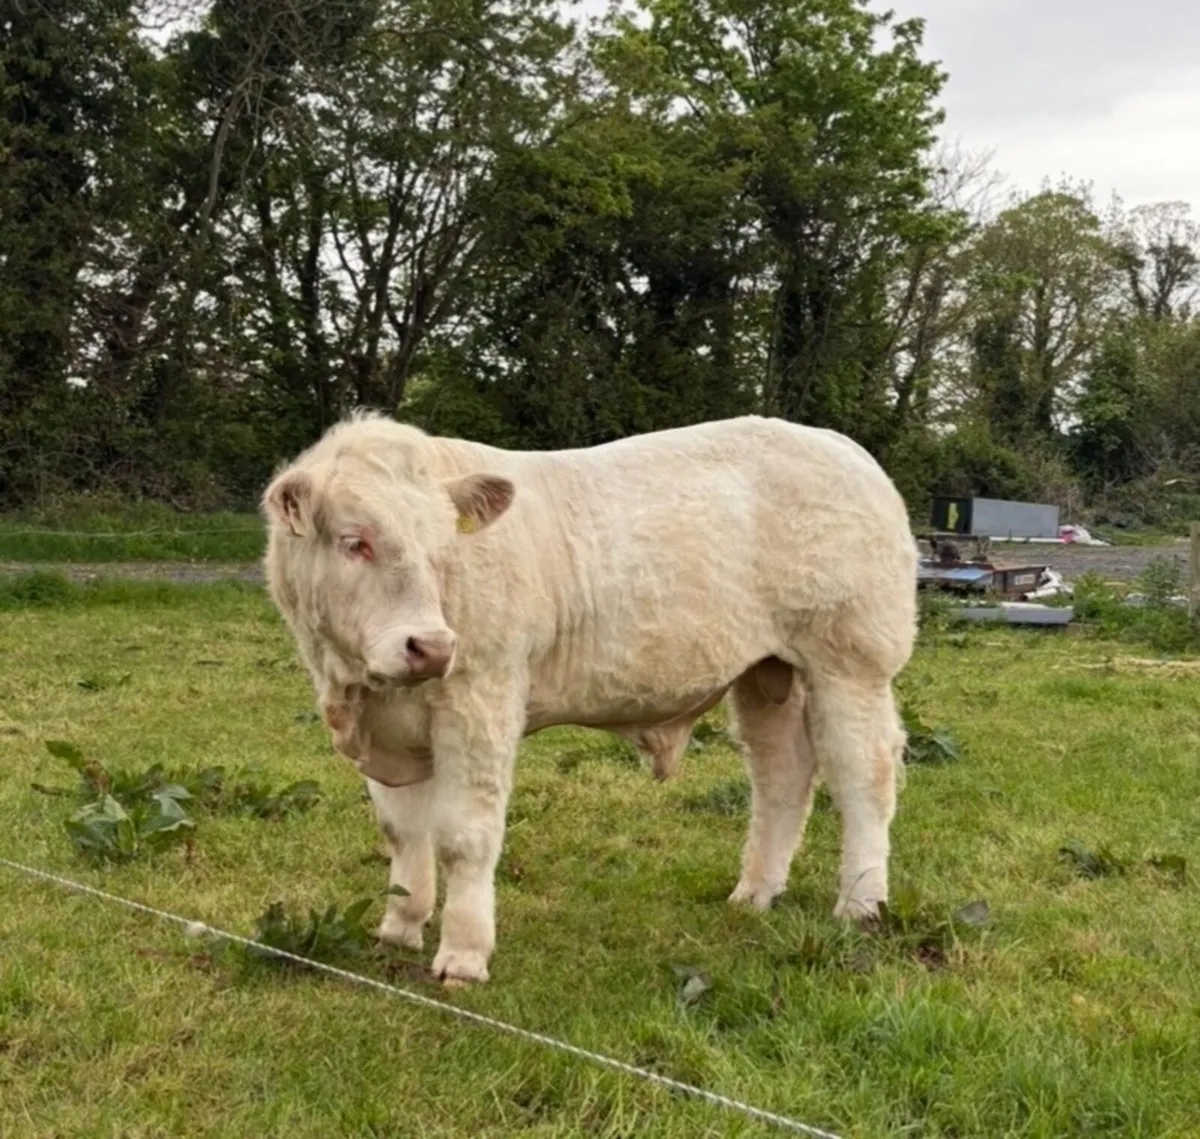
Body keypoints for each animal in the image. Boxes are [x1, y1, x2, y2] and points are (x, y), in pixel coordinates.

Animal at [262, 413, 917, 985]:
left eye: (442, 550)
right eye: (355, 542)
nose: (431, 647)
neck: (357, 690)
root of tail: (835, 443)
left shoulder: (480, 700)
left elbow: (464, 837)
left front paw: (464, 955)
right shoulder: (386, 727)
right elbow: (403, 831)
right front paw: (399, 927)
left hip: (850, 659)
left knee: (864, 776)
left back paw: (860, 904)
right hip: (767, 672)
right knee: (782, 776)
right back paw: (754, 894)